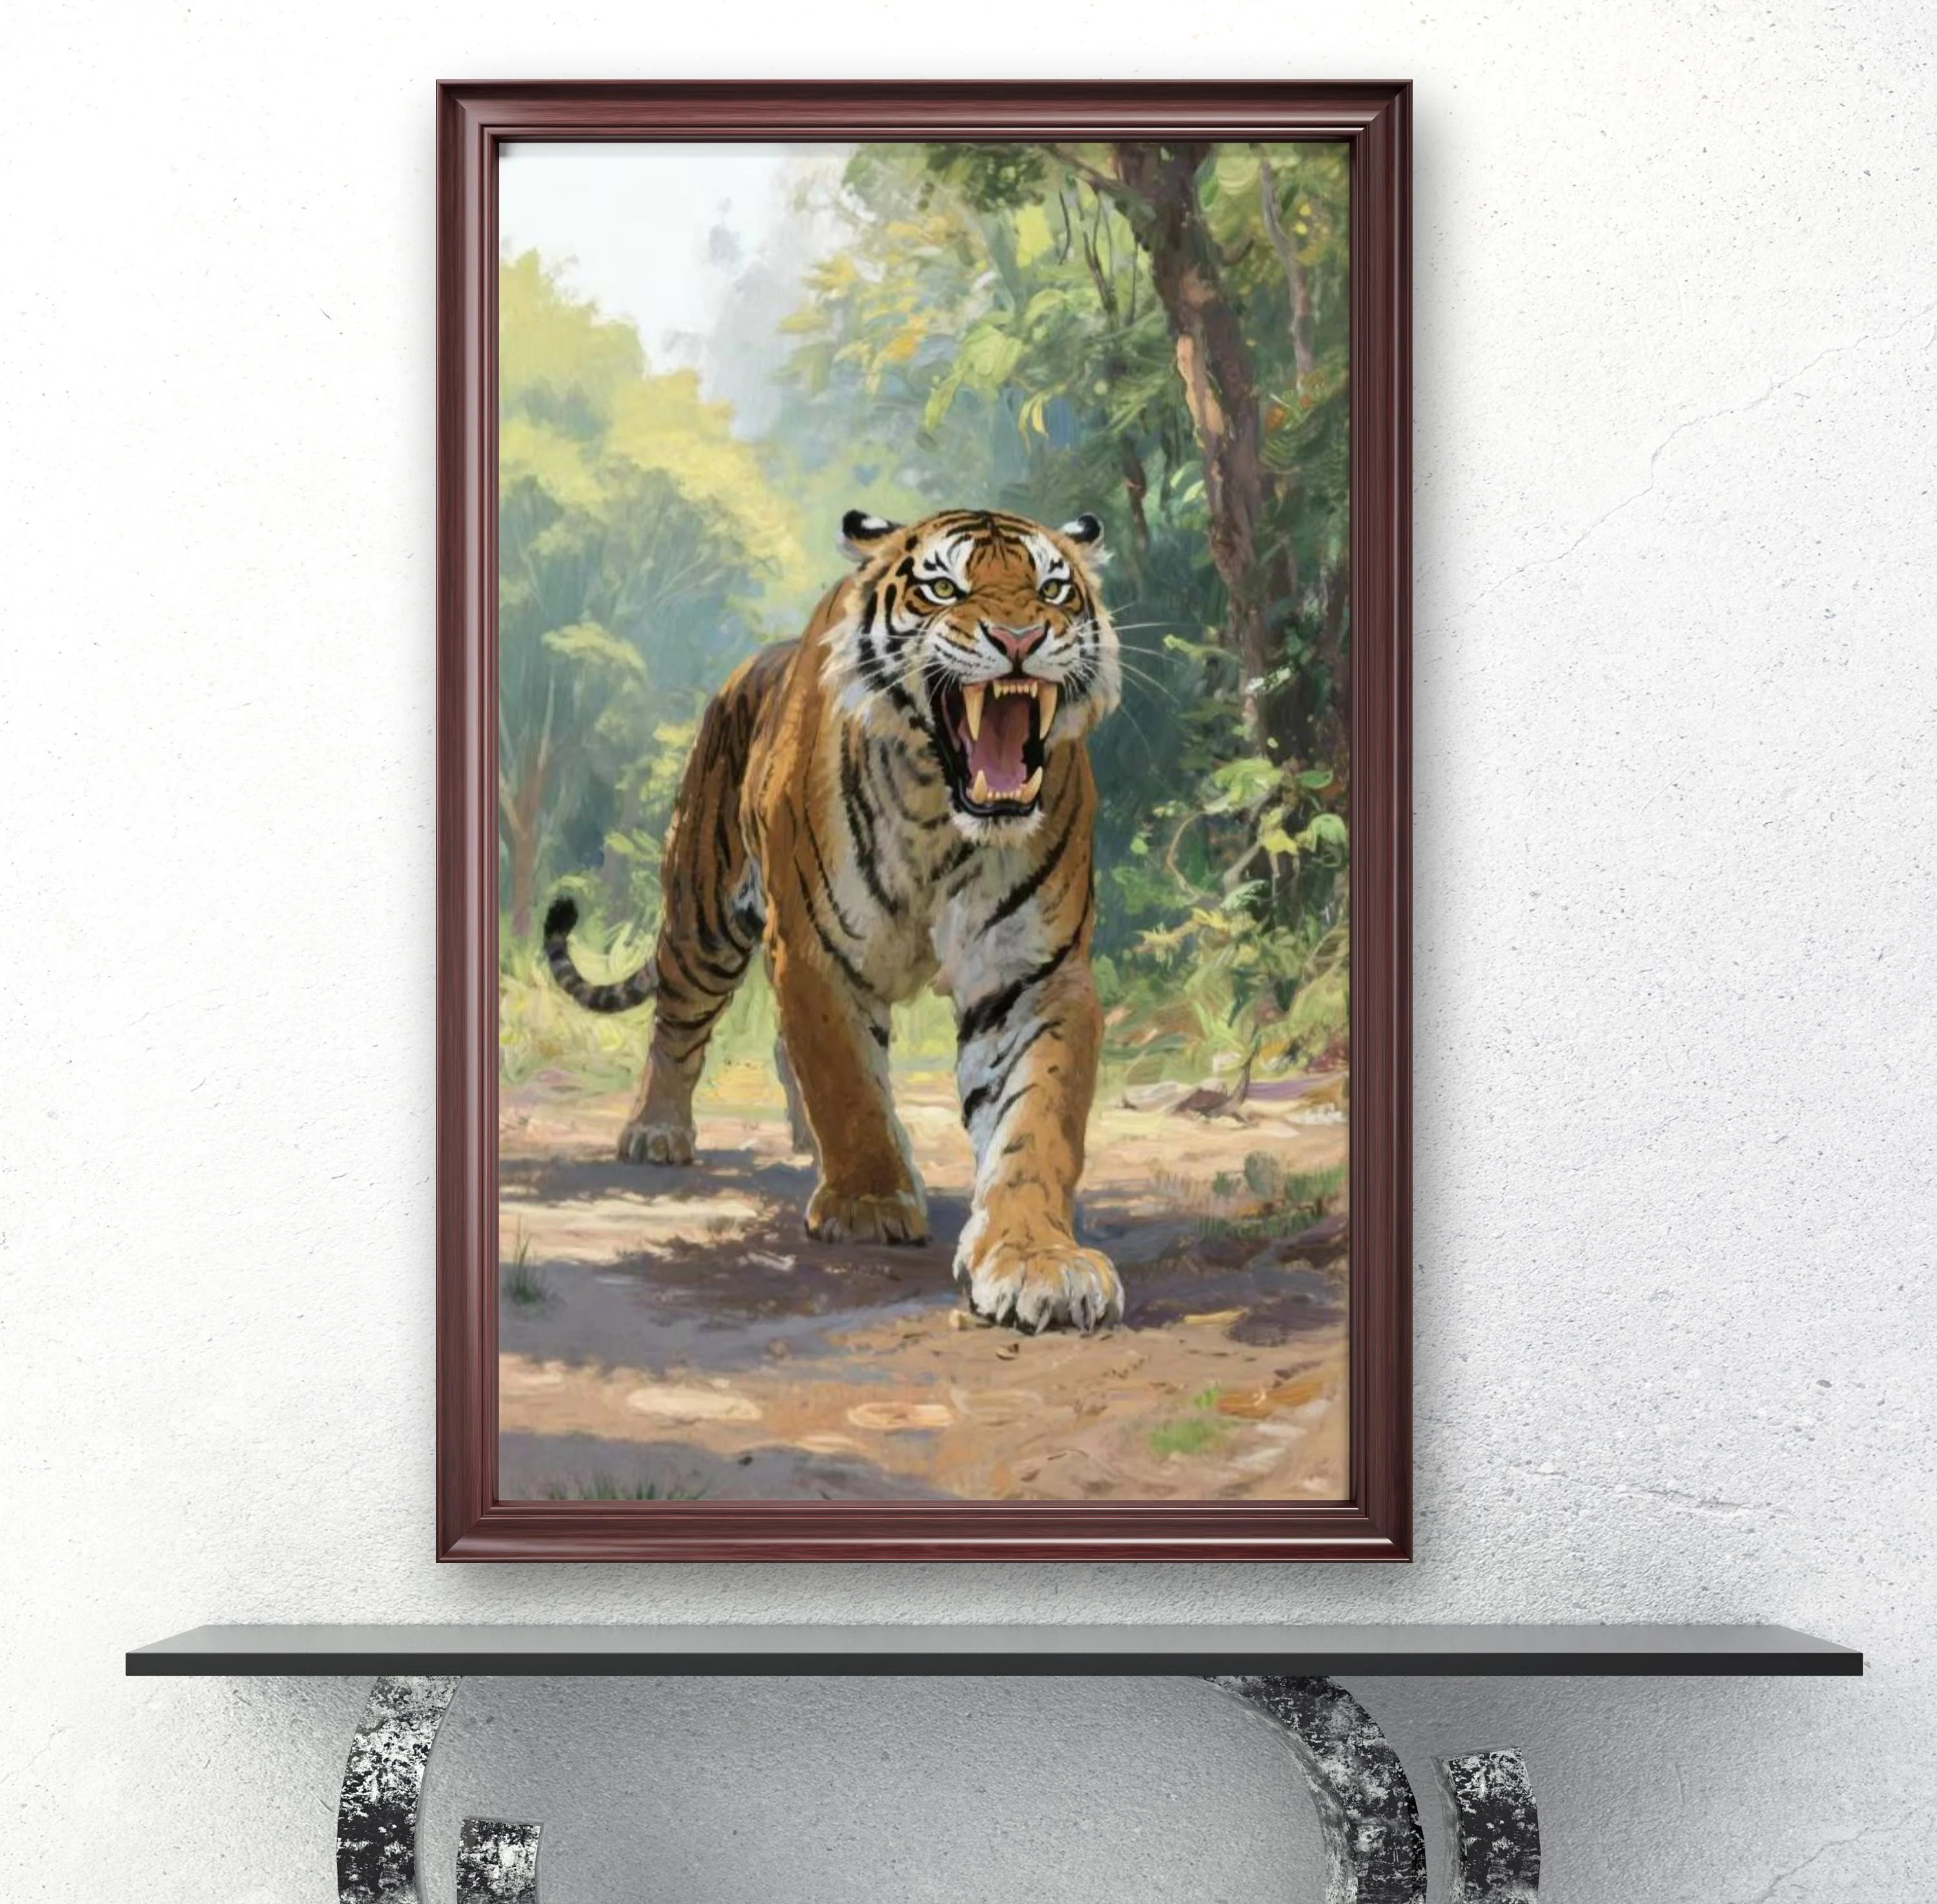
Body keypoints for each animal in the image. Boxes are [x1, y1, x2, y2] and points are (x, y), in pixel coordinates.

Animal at [542, 506, 1123, 1333]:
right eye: (944, 588)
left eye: (1052, 589)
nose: (1020, 638)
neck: (940, 813)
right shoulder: (816, 955)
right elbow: (845, 1081)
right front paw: (868, 1204)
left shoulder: (1034, 975)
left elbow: (1037, 1121)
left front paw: (1039, 1262)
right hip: (703, 919)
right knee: (676, 1029)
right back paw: (658, 1131)